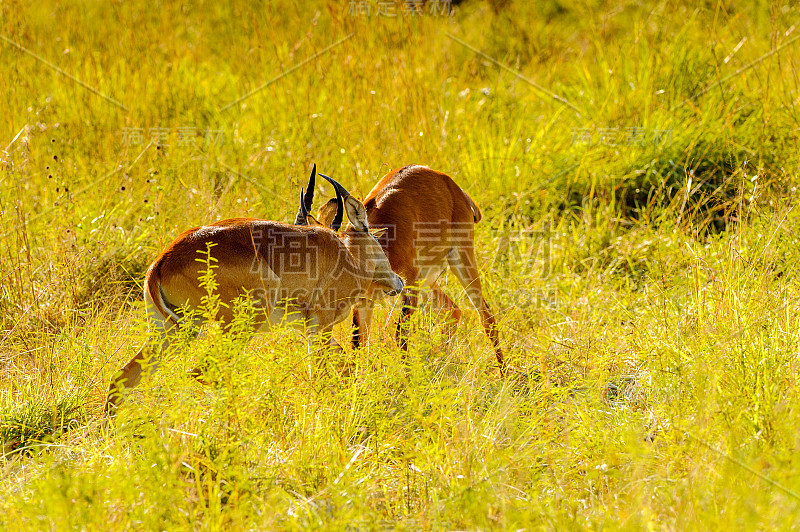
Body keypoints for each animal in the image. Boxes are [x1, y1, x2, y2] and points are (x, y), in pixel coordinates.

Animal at [106, 166, 404, 412]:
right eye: (375, 234)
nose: (398, 282)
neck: (346, 257)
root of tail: (162, 262)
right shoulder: (320, 325)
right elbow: (319, 374)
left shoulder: (308, 328)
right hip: (235, 324)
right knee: (204, 372)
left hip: (173, 332)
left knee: (122, 377)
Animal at [310, 165, 500, 374]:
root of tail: (454, 187)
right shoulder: (364, 302)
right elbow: (359, 344)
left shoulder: (410, 284)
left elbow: (400, 334)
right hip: (429, 278)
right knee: (452, 310)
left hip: (461, 259)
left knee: (486, 315)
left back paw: (504, 373)